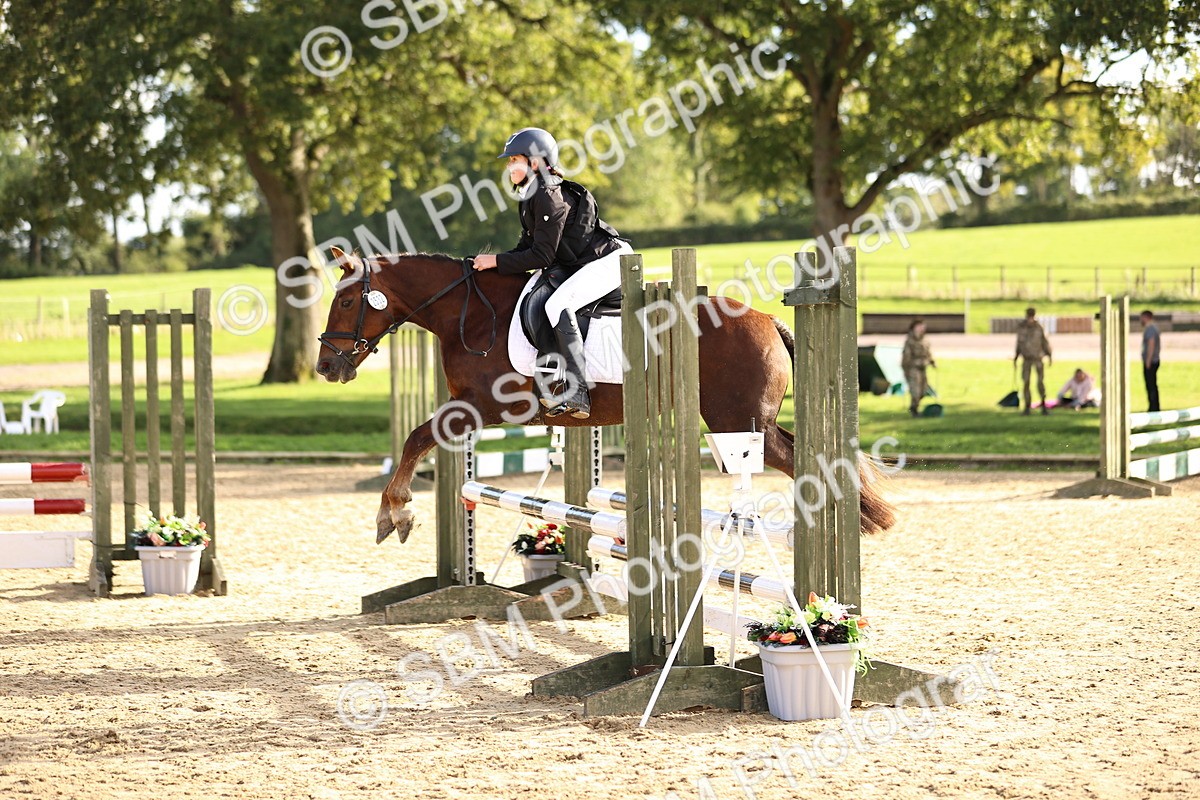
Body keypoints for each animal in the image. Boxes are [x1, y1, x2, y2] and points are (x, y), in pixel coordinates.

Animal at [315, 246, 895, 544]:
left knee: (802, 461)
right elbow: (421, 442)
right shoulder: (471, 409)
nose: (325, 367)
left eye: (345, 302)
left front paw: (394, 514)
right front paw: (398, 511)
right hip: (747, 425)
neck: (471, 311)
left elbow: (416, 438)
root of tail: (769, 320)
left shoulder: (486, 406)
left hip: (740, 425)